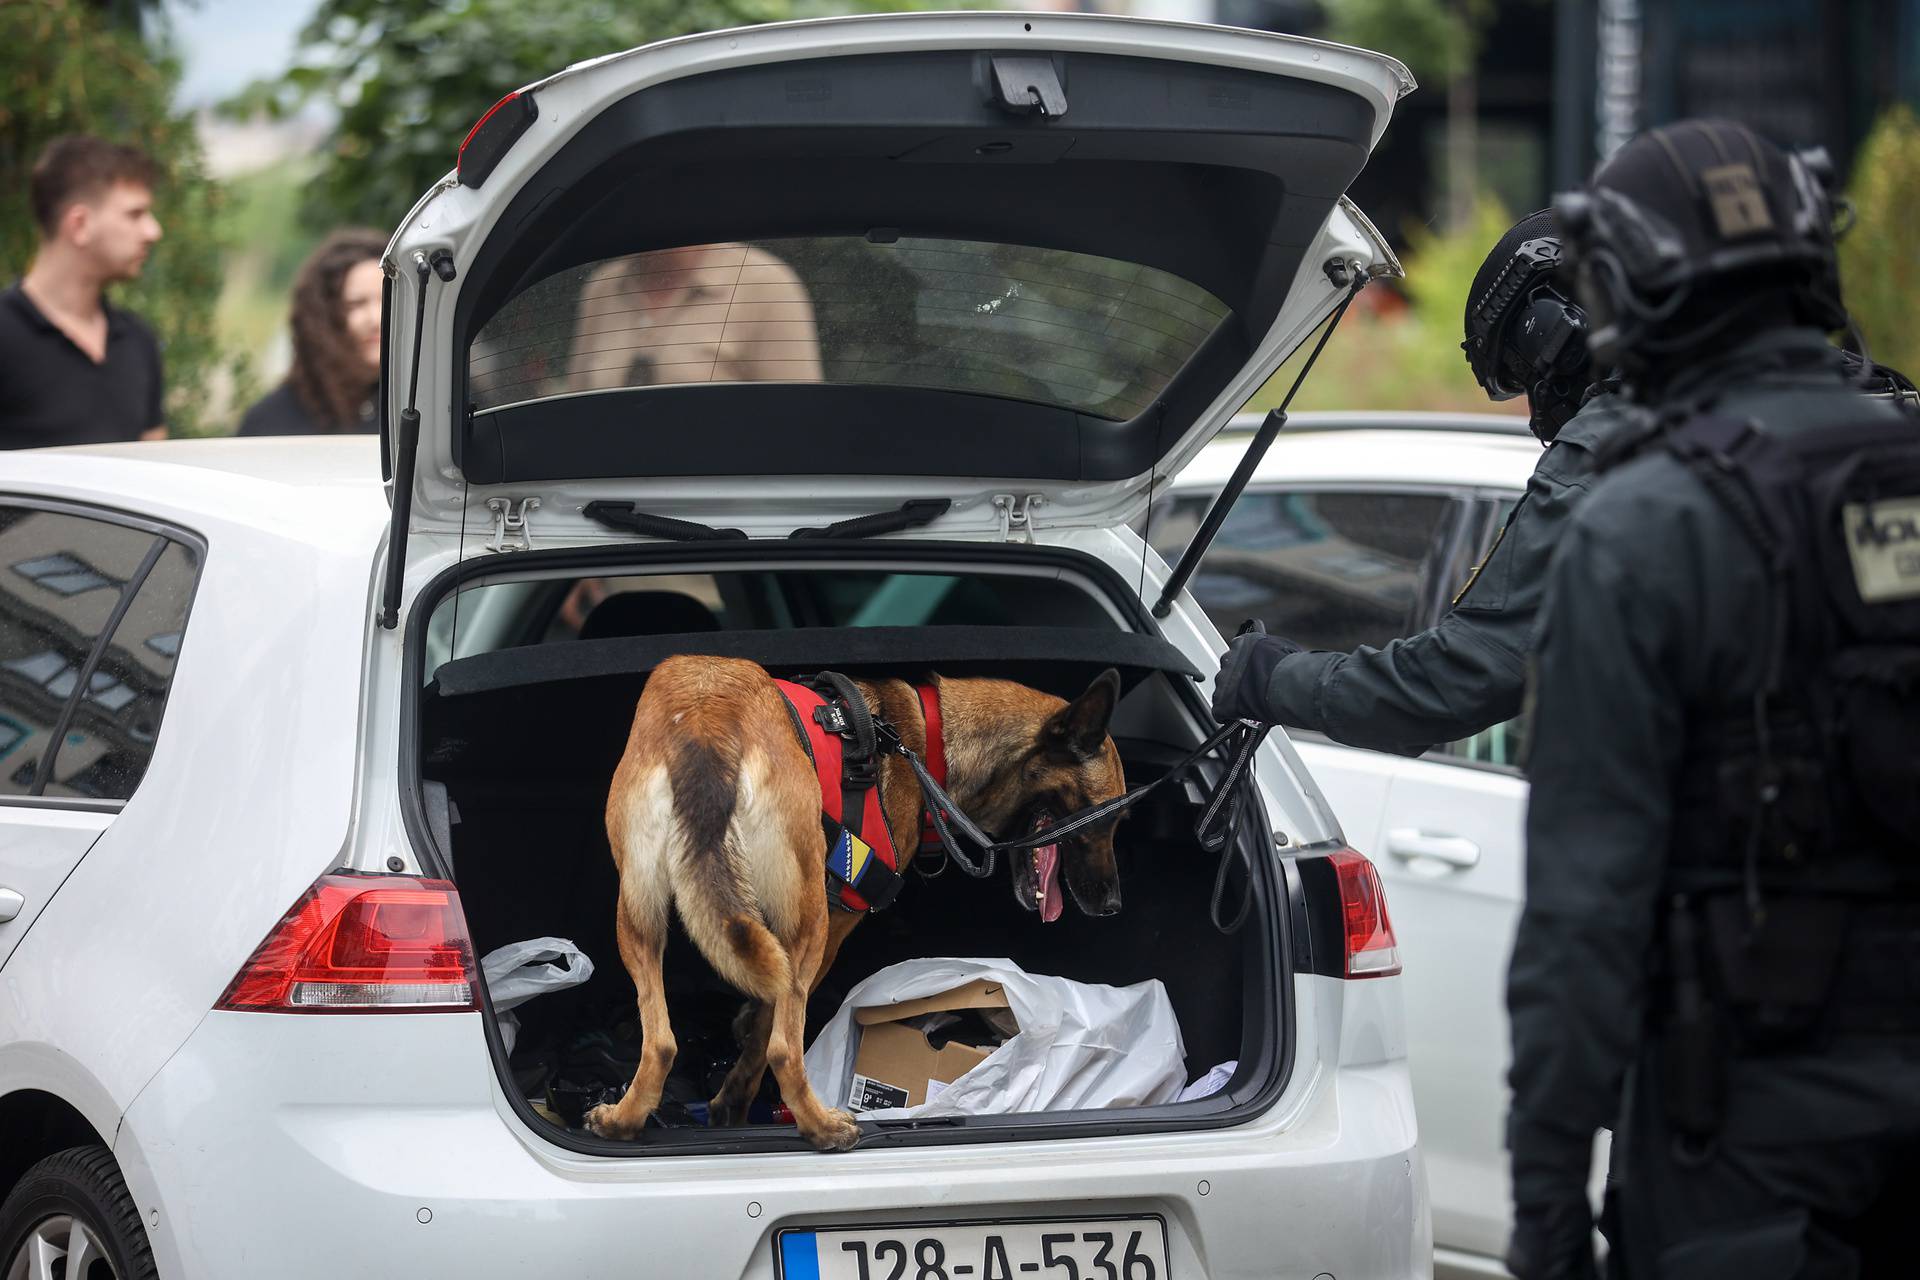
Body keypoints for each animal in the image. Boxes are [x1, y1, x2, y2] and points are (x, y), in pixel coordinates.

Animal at [583, 660, 1121, 1151]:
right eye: (1104, 820)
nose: (1113, 905)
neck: (929, 741)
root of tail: (706, 723)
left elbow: (754, 1013)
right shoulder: (837, 924)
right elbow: (764, 1032)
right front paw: (731, 1103)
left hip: (637, 917)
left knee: (661, 1041)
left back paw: (623, 1121)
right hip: (810, 927)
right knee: (783, 1048)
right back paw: (818, 1126)